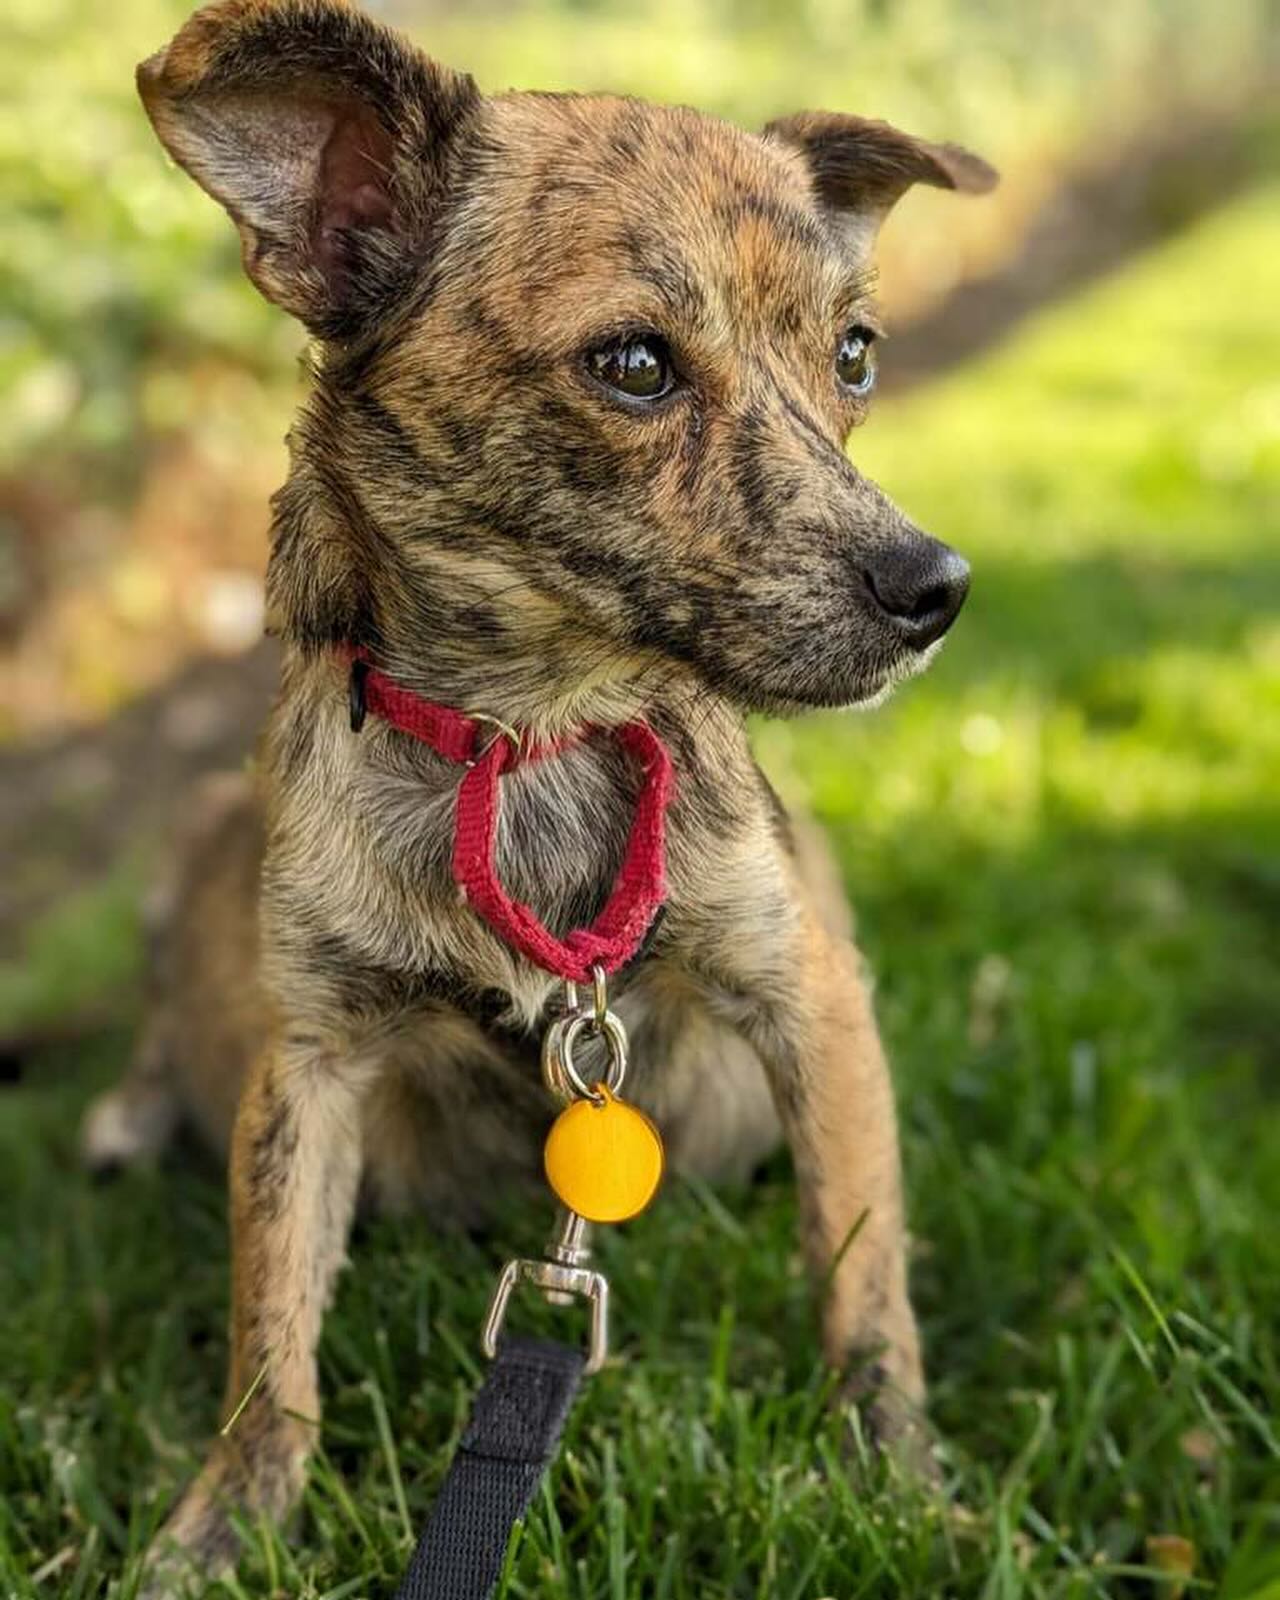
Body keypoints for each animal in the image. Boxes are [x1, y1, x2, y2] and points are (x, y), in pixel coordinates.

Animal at [82, 0, 998, 1574]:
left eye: (855, 355)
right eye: (632, 365)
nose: (934, 587)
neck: (539, 732)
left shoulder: (809, 992)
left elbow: (863, 1276)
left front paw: (899, 1484)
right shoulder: (308, 1064)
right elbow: (272, 1343)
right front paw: (226, 1526)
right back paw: (128, 1116)